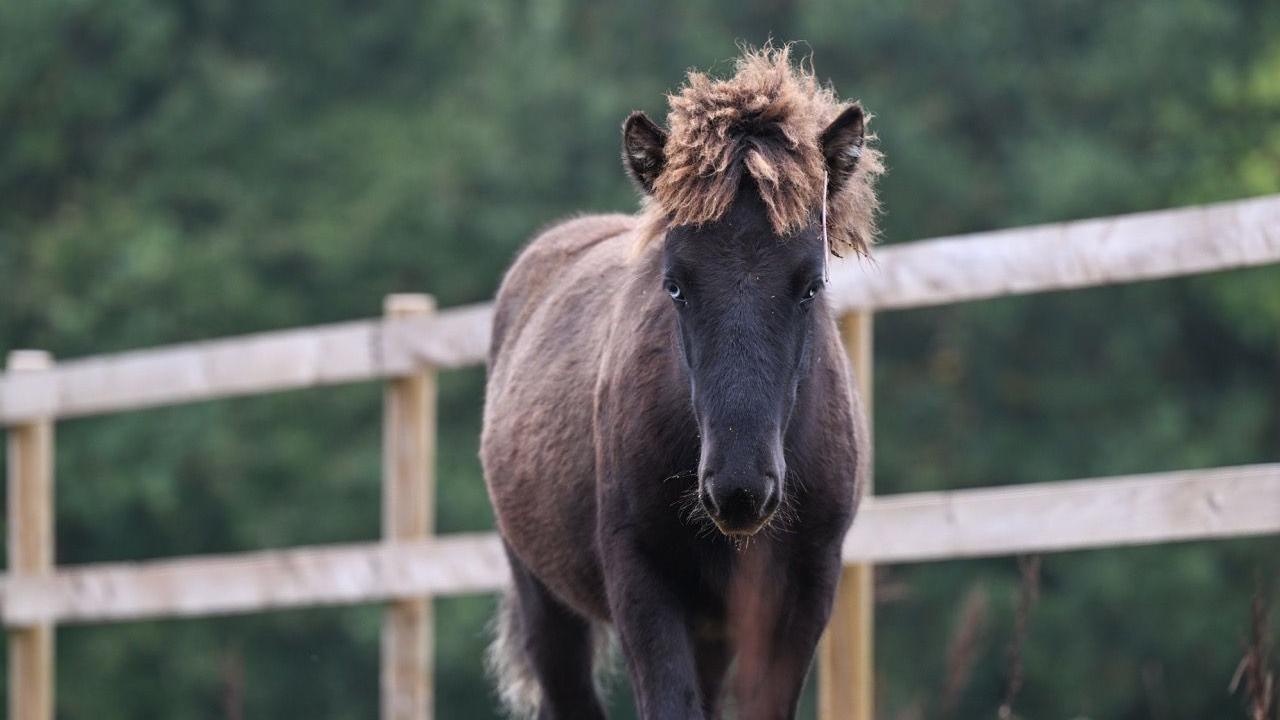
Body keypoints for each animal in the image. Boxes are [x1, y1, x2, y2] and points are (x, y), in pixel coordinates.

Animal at [480, 46, 881, 719]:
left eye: (811, 285)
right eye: (674, 285)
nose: (740, 489)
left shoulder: (805, 589)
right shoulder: (642, 581)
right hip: (545, 599)